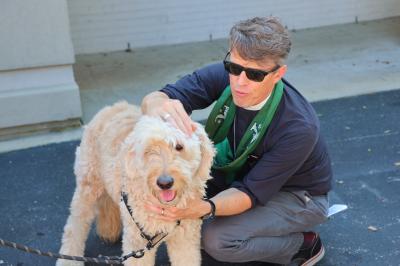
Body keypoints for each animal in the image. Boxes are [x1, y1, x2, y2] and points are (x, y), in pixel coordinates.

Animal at [56, 101, 216, 264]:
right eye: (148, 150)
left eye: (179, 146)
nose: (165, 183)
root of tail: (111, 107)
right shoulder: (138, 243)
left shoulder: (185, 240)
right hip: (88, 185)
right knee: (74, 226)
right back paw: (69, 259)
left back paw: (108, 230)